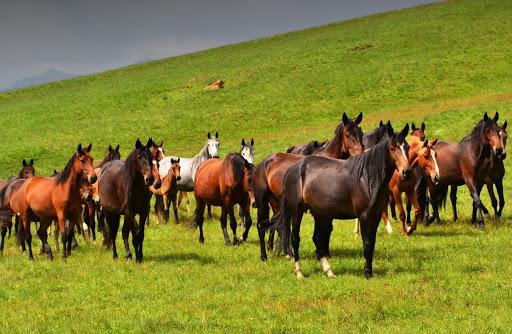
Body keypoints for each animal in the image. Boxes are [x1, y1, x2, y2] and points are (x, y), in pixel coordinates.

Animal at [253, 113, 364, 262]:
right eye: (347, 134)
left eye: (361, 133)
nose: (360, 154)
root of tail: (262, 164)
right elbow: (323, 230)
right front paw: (320, 253)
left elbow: (328, 229)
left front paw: (325, 253)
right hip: (262, 203)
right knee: (261, 226)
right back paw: (264, 256)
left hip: (276, 202)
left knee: (278, 226)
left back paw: (288, 254)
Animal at [268, 124, 408, 278]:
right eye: (392, 148)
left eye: (406, 147)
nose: (405, 172)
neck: (367, 177)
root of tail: (294, 168)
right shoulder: (364, 216)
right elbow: (366, 243)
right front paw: (367, 273)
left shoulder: (375, 215)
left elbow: (371, 243)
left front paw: (369, 272)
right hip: (297, 212)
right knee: (295, 239)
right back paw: (299, 272)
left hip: (320, 214)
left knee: (317, 239)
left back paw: (328, 271)